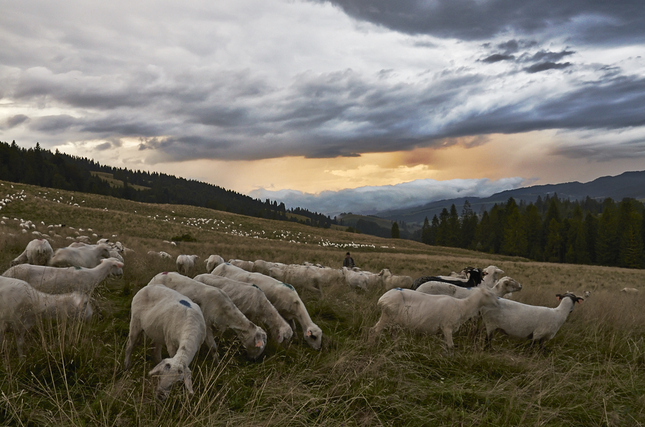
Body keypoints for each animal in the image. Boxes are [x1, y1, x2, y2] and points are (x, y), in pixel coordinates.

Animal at [368, 286, 498, 350]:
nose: (498, 303)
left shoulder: (442, 331)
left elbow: (444, 346)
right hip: (387, 315)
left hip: (394, 321)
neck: (462, 306)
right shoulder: (447, 327)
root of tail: (382, 298)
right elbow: (451, 346)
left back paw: (396, 348)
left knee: (392, 334)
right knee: (374, 330)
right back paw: (371, 346)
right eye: (490, 295)